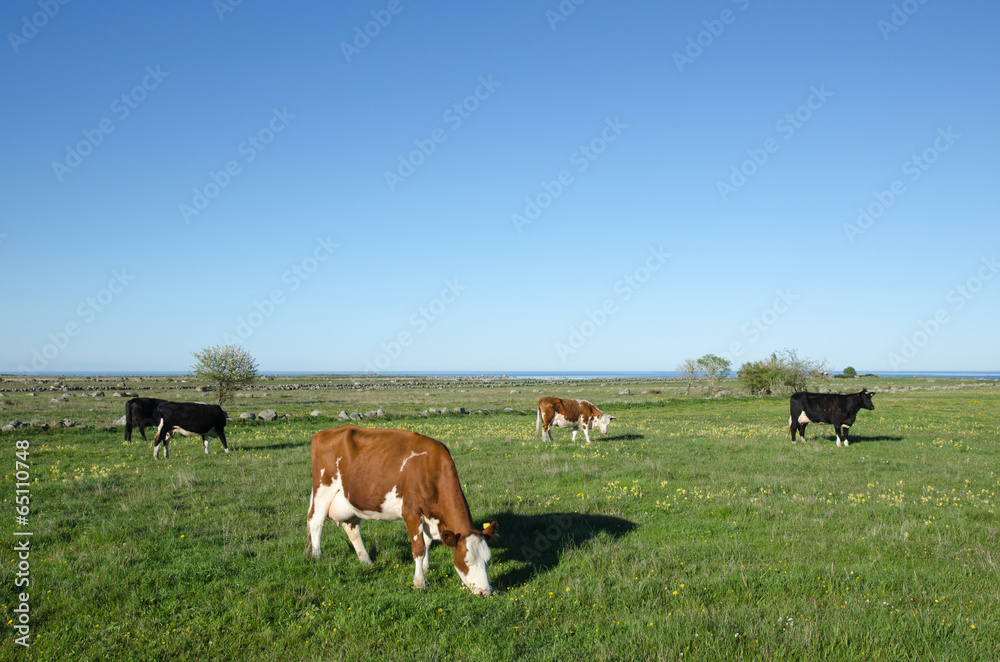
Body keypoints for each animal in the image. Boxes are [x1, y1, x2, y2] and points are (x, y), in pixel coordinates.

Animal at [300, 428, 496, 600]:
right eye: (467, 561)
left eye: (488, 560)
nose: (486, 592)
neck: (431, 468)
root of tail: (323, 433)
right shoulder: (411, 512)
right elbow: (419, 548)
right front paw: (419, 583)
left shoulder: (428, 516)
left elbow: (427, 543)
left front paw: (426, 568)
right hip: (323, 488)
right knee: (316, 521)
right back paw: (317, 557)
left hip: (350, 498)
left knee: (352, 529)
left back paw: (367, 562)